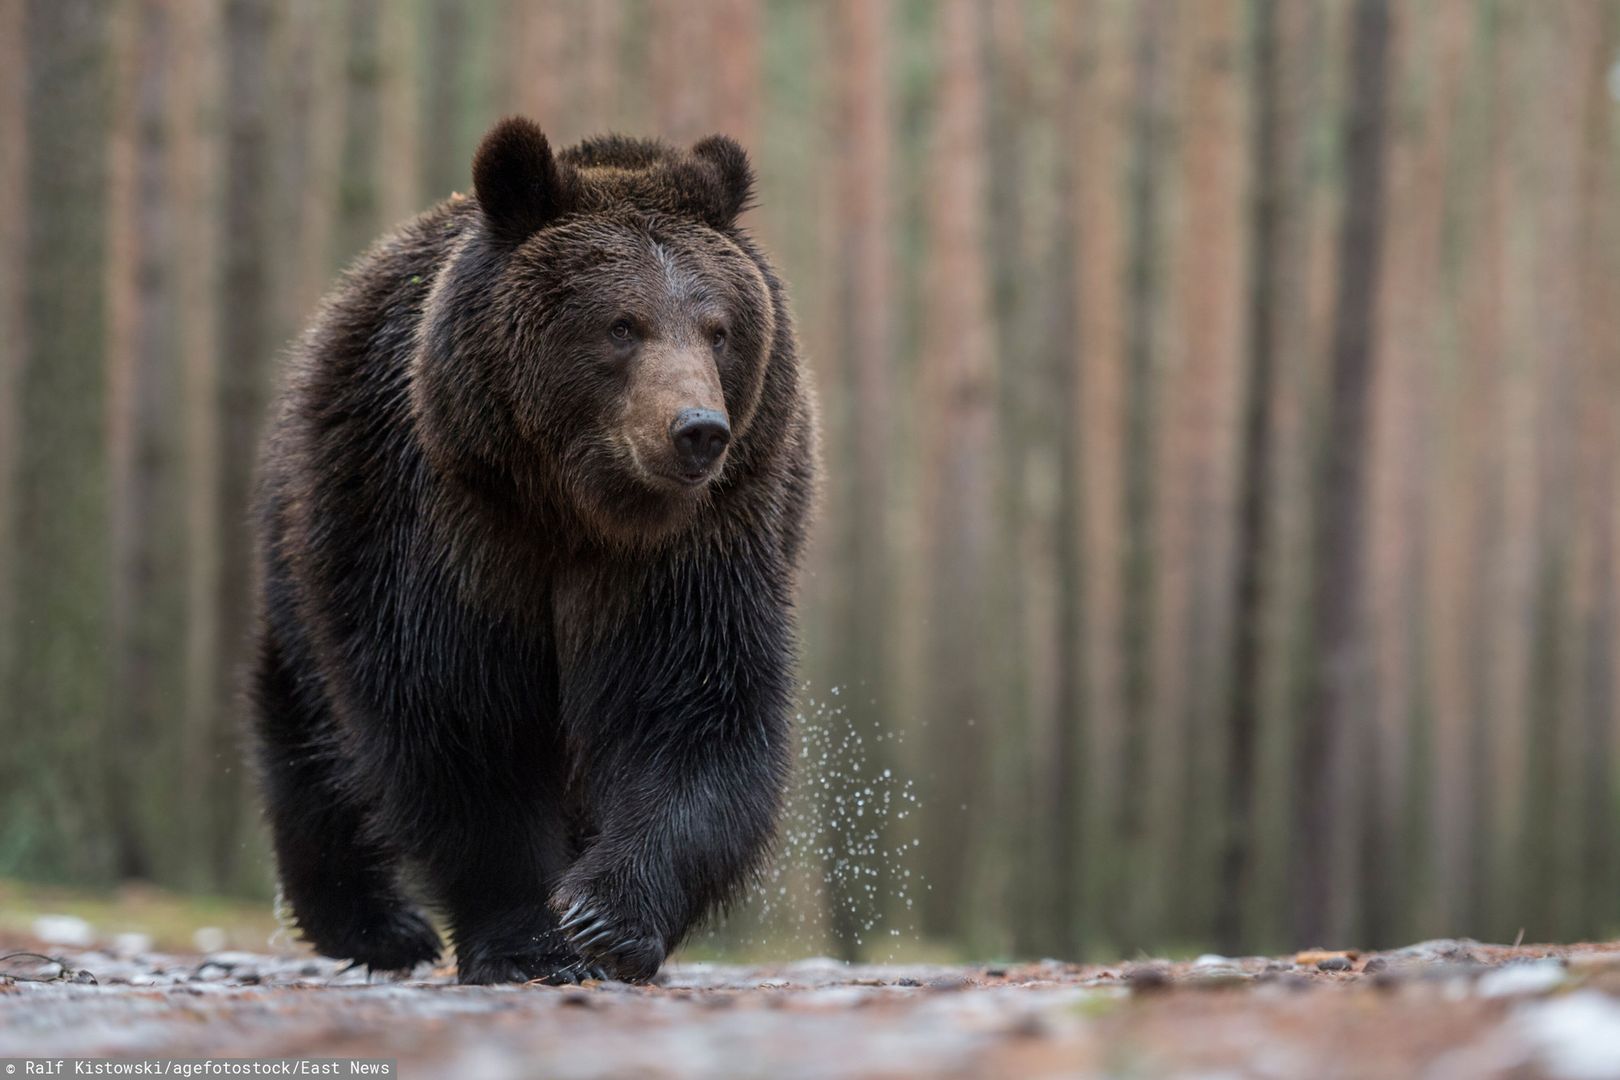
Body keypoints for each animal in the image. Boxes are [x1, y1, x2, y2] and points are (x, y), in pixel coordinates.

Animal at [252, 118, 822, 990]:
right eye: (622, 324)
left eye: (719, 328)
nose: (697, 429)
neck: (575, 511)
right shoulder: (448, 527)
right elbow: (458, 719)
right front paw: (527, 941)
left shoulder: (693, 554)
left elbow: (692, 711)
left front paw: (605, 917)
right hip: (316, 536)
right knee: (312, 732)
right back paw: (379, 926)